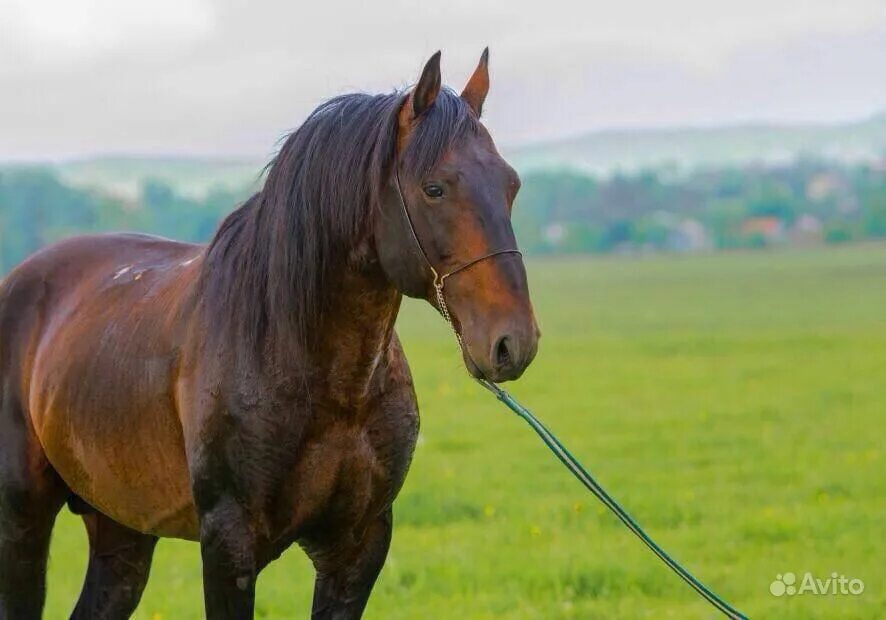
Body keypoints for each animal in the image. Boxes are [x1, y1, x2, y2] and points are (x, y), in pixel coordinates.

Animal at [0, 49, 540, 620]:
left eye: (511, 185)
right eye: (433, 188)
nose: (513, 342)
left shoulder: (357, 546)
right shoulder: (228, 545)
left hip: (122, 529)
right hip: (22, 518)